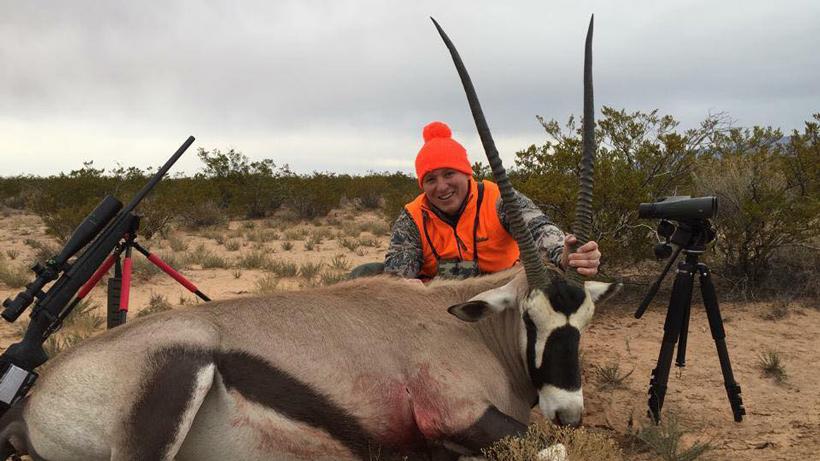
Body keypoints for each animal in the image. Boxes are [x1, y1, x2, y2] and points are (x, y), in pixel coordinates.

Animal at [0, 16, 615, 461]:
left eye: (584, 320)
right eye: (532, 319)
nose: (569, 411)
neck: (469, 328)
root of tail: (31, 402)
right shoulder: (455, 417)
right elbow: (552, 451)